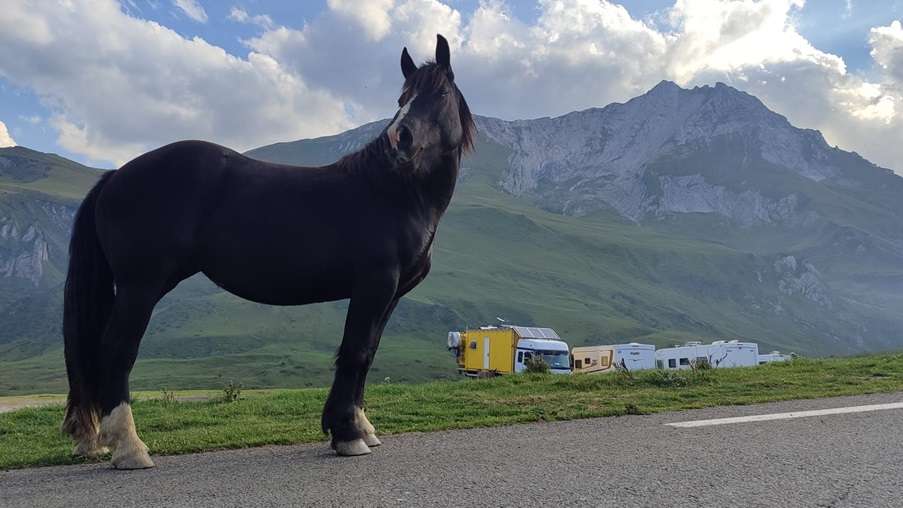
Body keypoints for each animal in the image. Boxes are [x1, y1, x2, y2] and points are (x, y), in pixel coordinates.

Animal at [61, 34, 474, 468]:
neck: (393, 193)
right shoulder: (373, 287)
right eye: (403, 97)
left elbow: (368, 354)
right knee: (116, 351)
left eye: (440, 93)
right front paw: (347, 434)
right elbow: (355, 352)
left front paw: (361, 427)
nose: (400, 139)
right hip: (141, 286)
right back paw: (129, 447)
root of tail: (116, 176)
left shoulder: (390, 295)